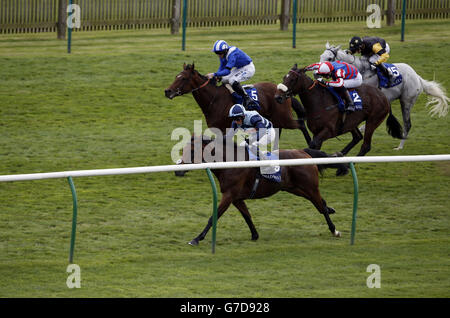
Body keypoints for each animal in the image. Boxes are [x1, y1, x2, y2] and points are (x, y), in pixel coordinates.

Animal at [163, 63, 312, 145]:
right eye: (176, 76)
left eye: (183, 78)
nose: (167, 91)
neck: (214, 99)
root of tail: (283, 91)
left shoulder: (224, 128)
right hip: (276, 119)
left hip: (284, 118)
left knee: (300, 124)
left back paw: (311, 144)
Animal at [178, 135, 348, 246]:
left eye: (192, 151)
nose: (178, 171)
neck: (229, 163)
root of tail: (304, 152)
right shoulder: (236, 198)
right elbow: (247, 216)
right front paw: (255, 235)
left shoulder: (229, 195)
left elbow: (214, 217)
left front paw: (196, 239)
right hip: (295, 188)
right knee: (321, 204)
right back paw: (331, 210)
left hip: (309, 187)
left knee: (320, 206)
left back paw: (334, 230)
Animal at [274, 64, 404, 157]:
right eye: (284, 77)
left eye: (293, 79)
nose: (277, 97)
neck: (319, 101)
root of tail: (384, 97)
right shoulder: (317, 132)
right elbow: (314, 147)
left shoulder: (328, 131)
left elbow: (313, 144)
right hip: (351, 123)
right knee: (357, 137)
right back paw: (339, 155)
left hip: (373, 121)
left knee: (366, 146)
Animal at [318, 42, 448, 150]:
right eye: (321, 56)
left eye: (329, 58)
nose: (318, 72)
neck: (361, 70)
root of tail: (417, 77)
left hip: (406, 101)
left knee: (407, 124)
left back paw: (399, 146)